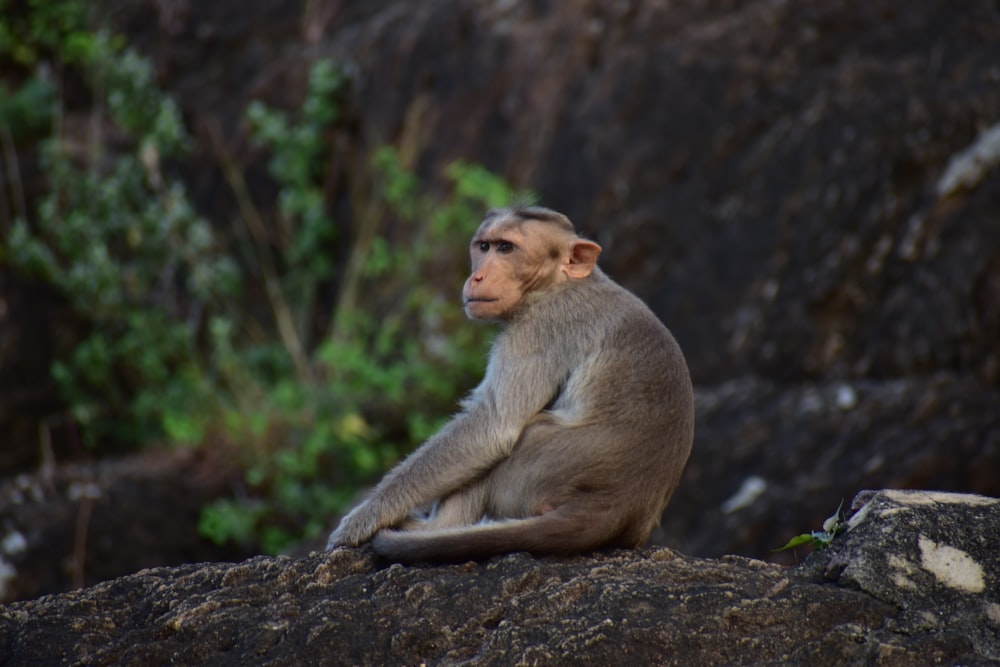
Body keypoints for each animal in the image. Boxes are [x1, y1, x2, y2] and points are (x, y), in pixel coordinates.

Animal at [328, 205, 696, 564]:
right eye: (484, 246)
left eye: (506, 248)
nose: (477, 276)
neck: (557, 282)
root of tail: (619, 503)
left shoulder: (538, 326)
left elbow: (492, 427)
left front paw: (364, 518)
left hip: (534, 469)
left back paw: (436, 527)